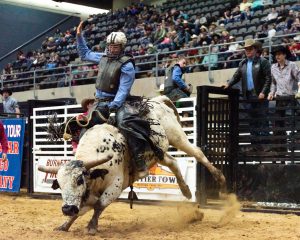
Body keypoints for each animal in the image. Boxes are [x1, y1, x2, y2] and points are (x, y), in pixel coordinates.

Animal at [38, 95, 225, 234]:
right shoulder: (87, 196)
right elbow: (83, 209)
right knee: (173, 162)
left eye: (79, 180)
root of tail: (156, 100)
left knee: (197, 152)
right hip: (158, 153)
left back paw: (219, 177)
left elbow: (100, 205)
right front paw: (65, 224)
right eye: (59, 184)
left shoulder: (116, 185)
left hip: (177, 136)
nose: (67, 209)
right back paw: (186, 191)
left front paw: (91, 227)